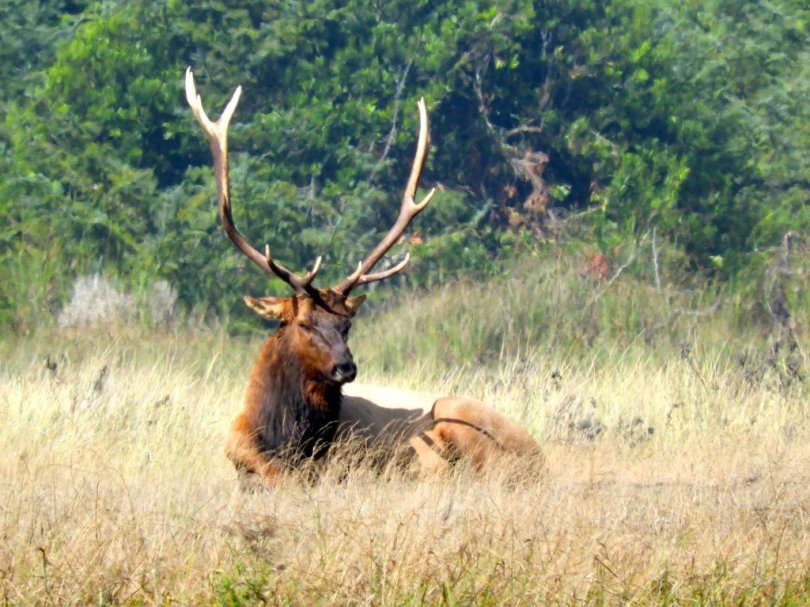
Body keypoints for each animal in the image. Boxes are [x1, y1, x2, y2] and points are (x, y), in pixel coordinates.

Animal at [185, 69, 544, 486]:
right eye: (304, 323)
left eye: (347, 325)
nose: (346, 367)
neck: (281, 442)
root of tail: (541, 458)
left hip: (459, 418)